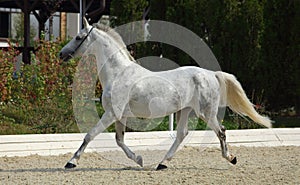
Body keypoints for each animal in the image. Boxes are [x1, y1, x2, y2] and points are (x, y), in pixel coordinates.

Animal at [59, 18, 272, 170]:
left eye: (78, 37)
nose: (61, 54)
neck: (118, 73)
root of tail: (212, 74)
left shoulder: (111, 114)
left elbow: (89, 135)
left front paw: (71, 162)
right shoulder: (119, 116)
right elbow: (119, 141)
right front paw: (139, 160)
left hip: (206, 113)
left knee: (221, 132)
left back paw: (231, 158)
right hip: (185, 110)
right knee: (182, 134)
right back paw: (162, 164)